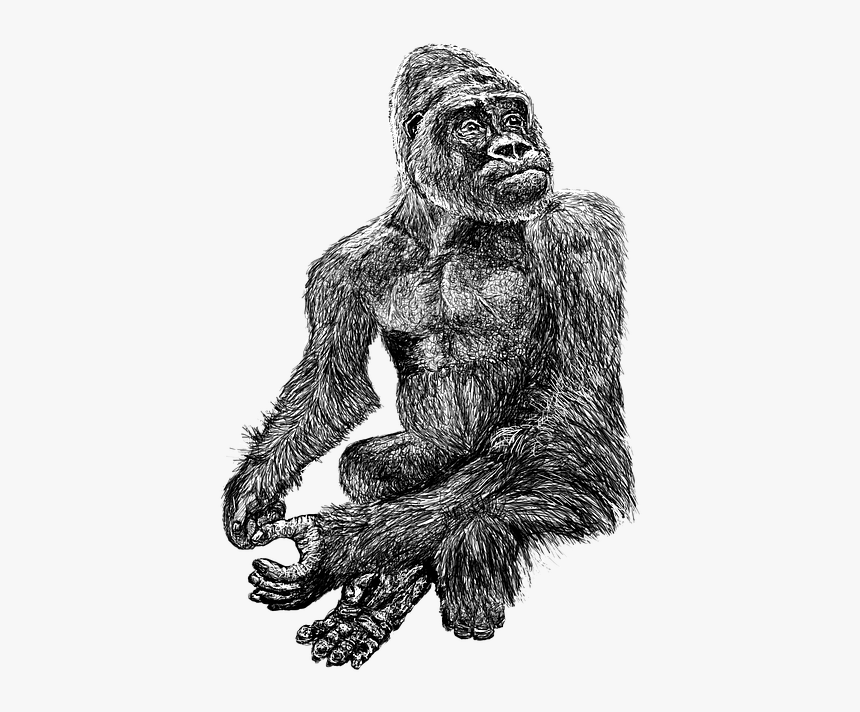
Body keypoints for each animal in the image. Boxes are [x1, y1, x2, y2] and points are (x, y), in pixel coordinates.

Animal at [223, 45, 634, 668]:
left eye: (512, 117)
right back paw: (377, 597)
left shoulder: (581, 230)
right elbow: (334, 382)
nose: (514, 147)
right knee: (368, 465)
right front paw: (253, 487)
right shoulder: (343, 266)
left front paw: (332, 547)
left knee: (502, 490)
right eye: (472, 124)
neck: (452, 230)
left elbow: (570, 409)